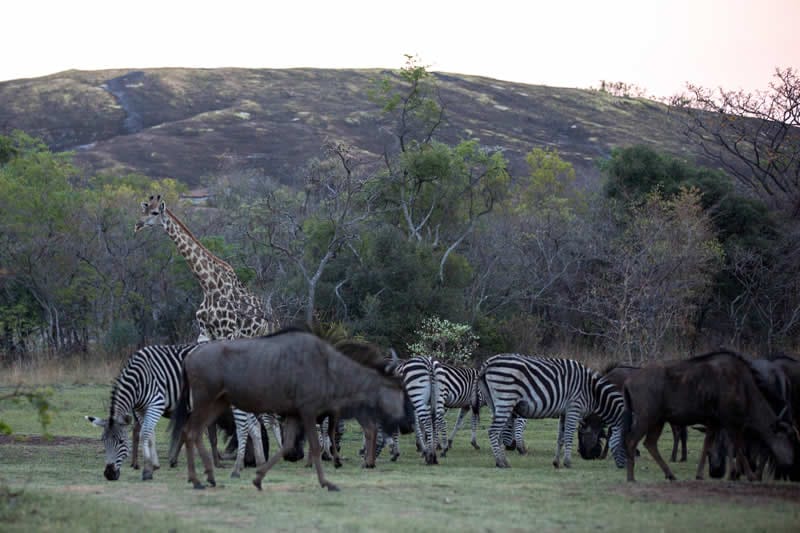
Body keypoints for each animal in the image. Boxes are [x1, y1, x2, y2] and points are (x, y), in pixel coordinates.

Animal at [478, 353, 626, 469]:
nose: (623, 466)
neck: (593, 391)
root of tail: (489, 362)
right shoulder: (574, 407)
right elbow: (569, 436)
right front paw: (567, 463)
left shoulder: (564, 412)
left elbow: (561, 438)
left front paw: (556, 463)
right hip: (506, 398)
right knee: (493, 431)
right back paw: (500, 462)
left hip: (496, 403)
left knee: (499, 432)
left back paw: (503, 461)